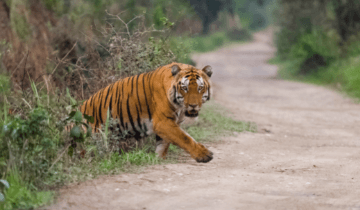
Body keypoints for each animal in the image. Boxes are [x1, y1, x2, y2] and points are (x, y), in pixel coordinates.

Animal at [79, 61, 214, 163]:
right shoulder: (163, 122)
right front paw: (204, 154)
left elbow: (163, 145)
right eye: (185, 88)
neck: (180, 107)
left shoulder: (169, 124)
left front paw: (159, 159)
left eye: (200, 88)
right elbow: (184, 138)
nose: (193, 105)